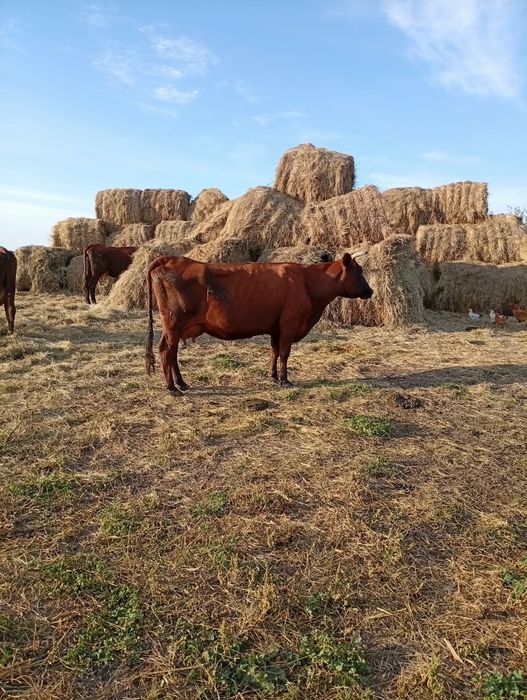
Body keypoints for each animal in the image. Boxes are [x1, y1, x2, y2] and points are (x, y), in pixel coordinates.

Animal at [145, 251, 373, 394]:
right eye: (359, 271)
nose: (370, 291)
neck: (307, 282)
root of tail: (171, 259)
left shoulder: (276, 328)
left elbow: (274, 352)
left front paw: (273, 376)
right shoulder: (289, 324)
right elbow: (284, 353)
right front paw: (285, 380)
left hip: (175, 328)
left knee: (171, 352)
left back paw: (181, 383)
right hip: (174, 323)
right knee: (166, 351)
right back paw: (172, 388)